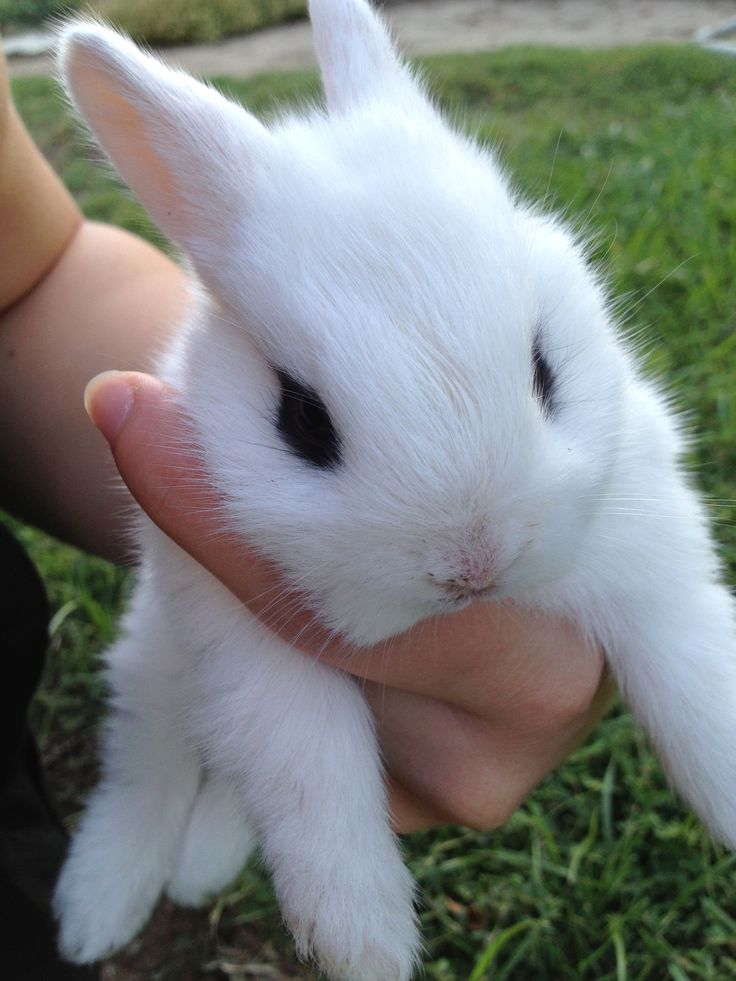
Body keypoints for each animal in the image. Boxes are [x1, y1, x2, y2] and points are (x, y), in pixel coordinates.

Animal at [54, 1, 736, 980]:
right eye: (301, 419)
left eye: (544, 367)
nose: (470, 563)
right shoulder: (237, 628)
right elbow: (306, 765)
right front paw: (362, 938)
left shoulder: (652, 537)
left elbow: (690, 667)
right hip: (157, 663)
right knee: (149, 765)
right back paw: (98, 906)